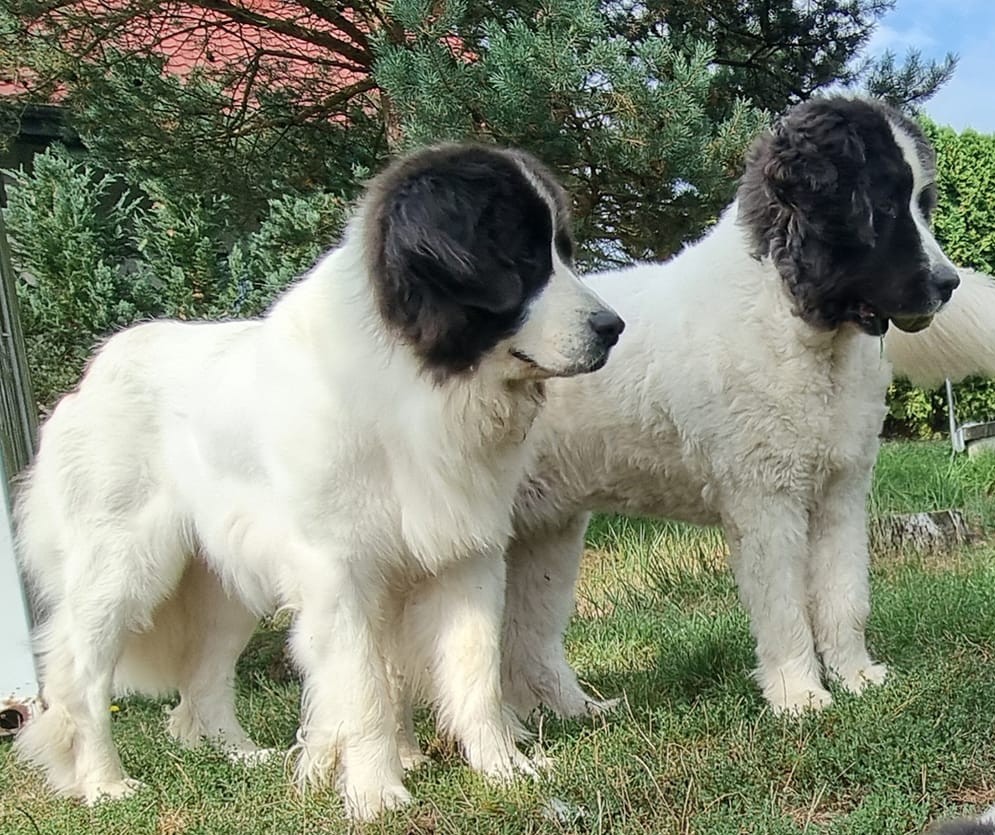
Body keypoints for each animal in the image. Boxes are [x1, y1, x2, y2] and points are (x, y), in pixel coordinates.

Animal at [12, 143, 625, 819]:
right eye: (521, 256)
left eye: (562, 249)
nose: (613, 327)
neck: (416, 380)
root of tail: (95, 373)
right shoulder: (341, 570)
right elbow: (364, 686)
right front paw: (378, 790)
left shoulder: (467, 552)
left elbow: (474, 671)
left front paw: (505, 771)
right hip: (121, 568)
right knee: (82, 677)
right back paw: (104, 783)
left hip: (226, 583)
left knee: (203, 681)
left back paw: (242, 756)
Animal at [498, 95, 961, 718]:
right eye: (883, 206)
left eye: (923, 205)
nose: (950, 283)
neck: (797, 321)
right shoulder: (766, 500)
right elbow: (784, 608)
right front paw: (800, 696)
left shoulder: (841, 491)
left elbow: (845, 594)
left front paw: (857, 677)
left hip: (544, 534)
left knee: (525, 639)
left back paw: (573, 714)